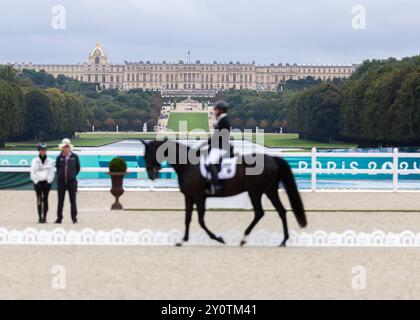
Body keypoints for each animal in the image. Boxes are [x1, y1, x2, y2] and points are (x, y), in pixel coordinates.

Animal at [140, 141, 306, 248]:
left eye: (147, 155)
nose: (150, 174)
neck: (188, 165)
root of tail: (272, 158)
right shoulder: (189, 197)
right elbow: (187, 219)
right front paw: (182, 240)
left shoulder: (199, 197)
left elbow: (200, 221)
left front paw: (218, 238)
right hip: (269, 191)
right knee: (281, 211)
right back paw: (283, 241)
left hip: (255, 192)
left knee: (260, 212)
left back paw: (244, 239)